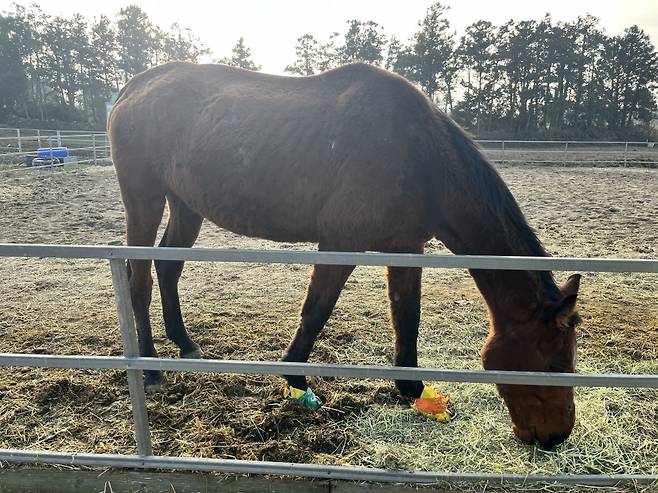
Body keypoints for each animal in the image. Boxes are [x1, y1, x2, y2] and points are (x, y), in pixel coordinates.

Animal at [107, 60, 580, 446]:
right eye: (553, 364)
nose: (556, 437)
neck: (418, 155)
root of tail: (133, 87)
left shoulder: (406, 247)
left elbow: (407, 316)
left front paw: (412, 389)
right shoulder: (341, 243)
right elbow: (317, 310)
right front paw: (295, 379)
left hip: (185, 205)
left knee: (168, 267)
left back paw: (185, 343)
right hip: (144, 199)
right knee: (140, 278)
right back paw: (150, 368)